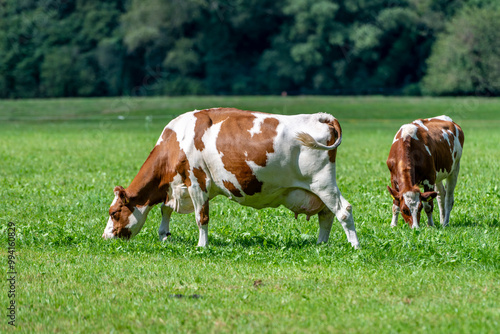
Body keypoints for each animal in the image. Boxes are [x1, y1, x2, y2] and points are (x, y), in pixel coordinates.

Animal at [101, 107, 360, 248]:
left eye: (114, 213)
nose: (105, 237)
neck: (176, 140)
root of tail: (320, 116)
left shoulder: (197, 182)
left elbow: (201, 218)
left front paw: (202, 245)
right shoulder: (175, 187)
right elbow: (166, 210)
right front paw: (165, 237)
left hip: (323, 182)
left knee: (343, 210)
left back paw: (355, 246)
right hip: (317, 189)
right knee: (326, 215)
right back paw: (320, 244)